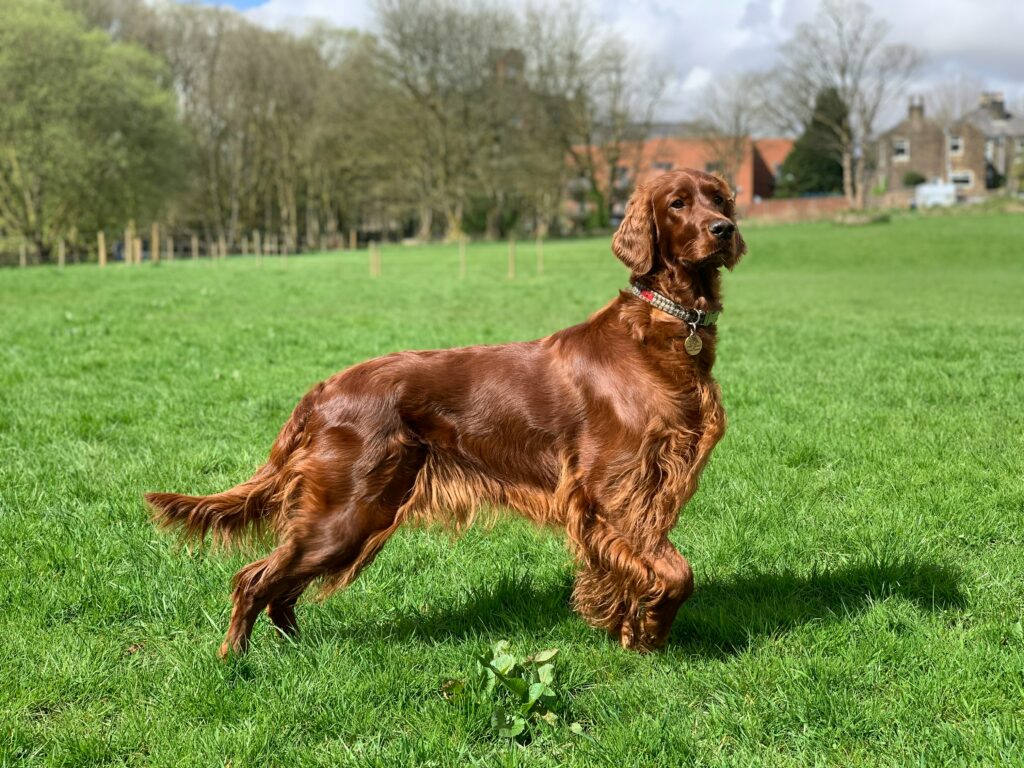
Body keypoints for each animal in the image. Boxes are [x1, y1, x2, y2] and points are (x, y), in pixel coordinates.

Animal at [148, 171, 745, 659]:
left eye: (720, 197)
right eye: (677, 203)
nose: (724, 229)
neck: (661, 330)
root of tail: (324, 388)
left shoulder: (643, 495)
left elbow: (646, 571)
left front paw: (629, 631)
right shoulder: (611, 493)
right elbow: (676, 573)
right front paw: (650, 631)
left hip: (354, 514)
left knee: (281, 587)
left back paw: (295, 652)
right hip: (346, 512)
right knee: (255, 578)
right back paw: (234, 664)